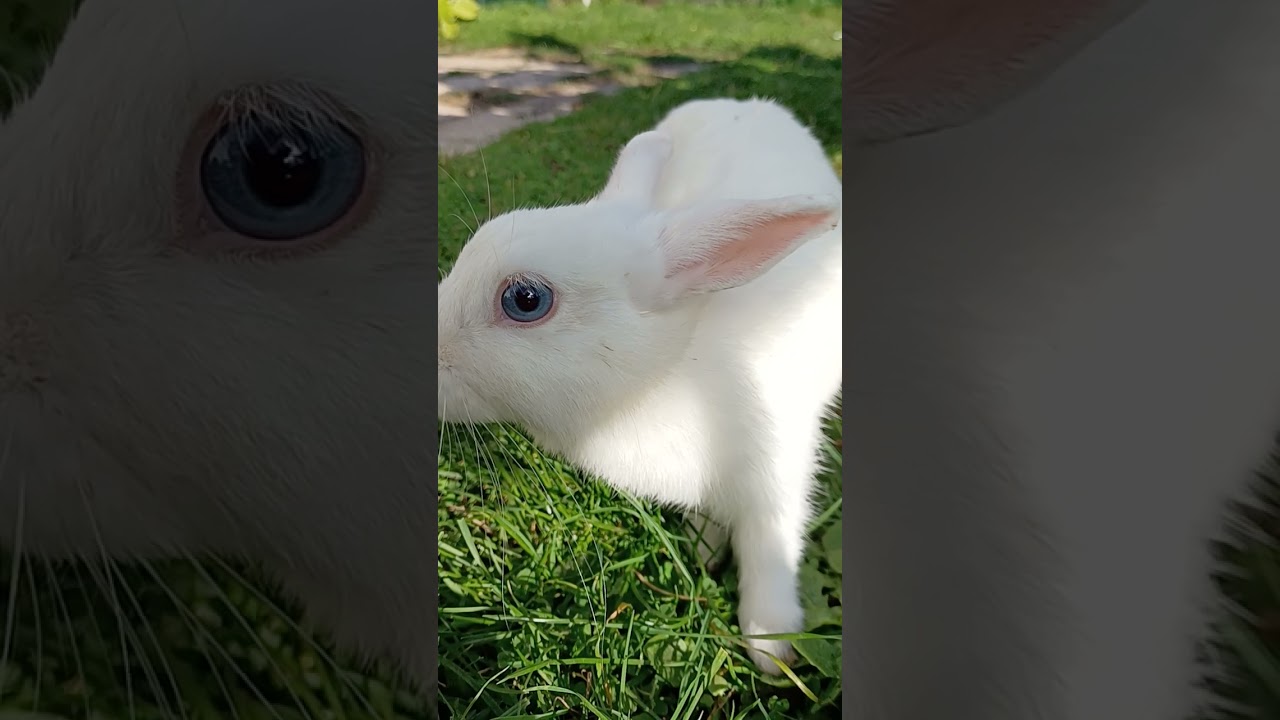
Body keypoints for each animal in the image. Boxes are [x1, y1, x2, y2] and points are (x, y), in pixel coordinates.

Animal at [437, 97, 842, 673]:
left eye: (526, 300)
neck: (662, 378)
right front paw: (702, 547)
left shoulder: (777, 475)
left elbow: (771, 551)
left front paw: (771, 646)